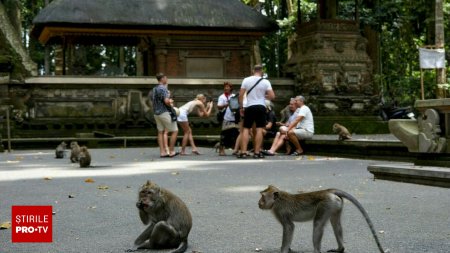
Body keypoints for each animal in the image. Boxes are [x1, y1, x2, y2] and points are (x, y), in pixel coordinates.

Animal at [258, 184, 388, 253]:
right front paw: (289, 249)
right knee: (336, 224)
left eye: (263, 197)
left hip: (326, 204)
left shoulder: (280, 212)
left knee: (318, 224)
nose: (259, 203)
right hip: (335, 205)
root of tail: (328, 191)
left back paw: (317, 250)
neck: (277, 200)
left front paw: (283, 250)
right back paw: (340, 249)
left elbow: (289, 227)